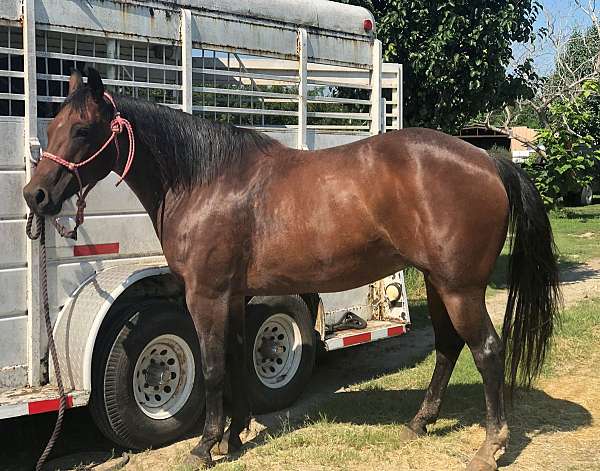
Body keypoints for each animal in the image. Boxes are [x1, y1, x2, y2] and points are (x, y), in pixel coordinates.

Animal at [21, 70, 560, 471]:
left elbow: (213, 366)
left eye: (83, 131)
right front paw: (234, 437)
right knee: (449, 347)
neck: (204, 180)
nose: (35, 196)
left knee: (486, 350)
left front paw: (205, 445)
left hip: (460, 287)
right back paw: (421, 421)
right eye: (50, 129)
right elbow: (236, 360)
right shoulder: (235, 295)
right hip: (439, 282)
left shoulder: (206, 295)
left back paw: (490, 447)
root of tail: (489, 162)